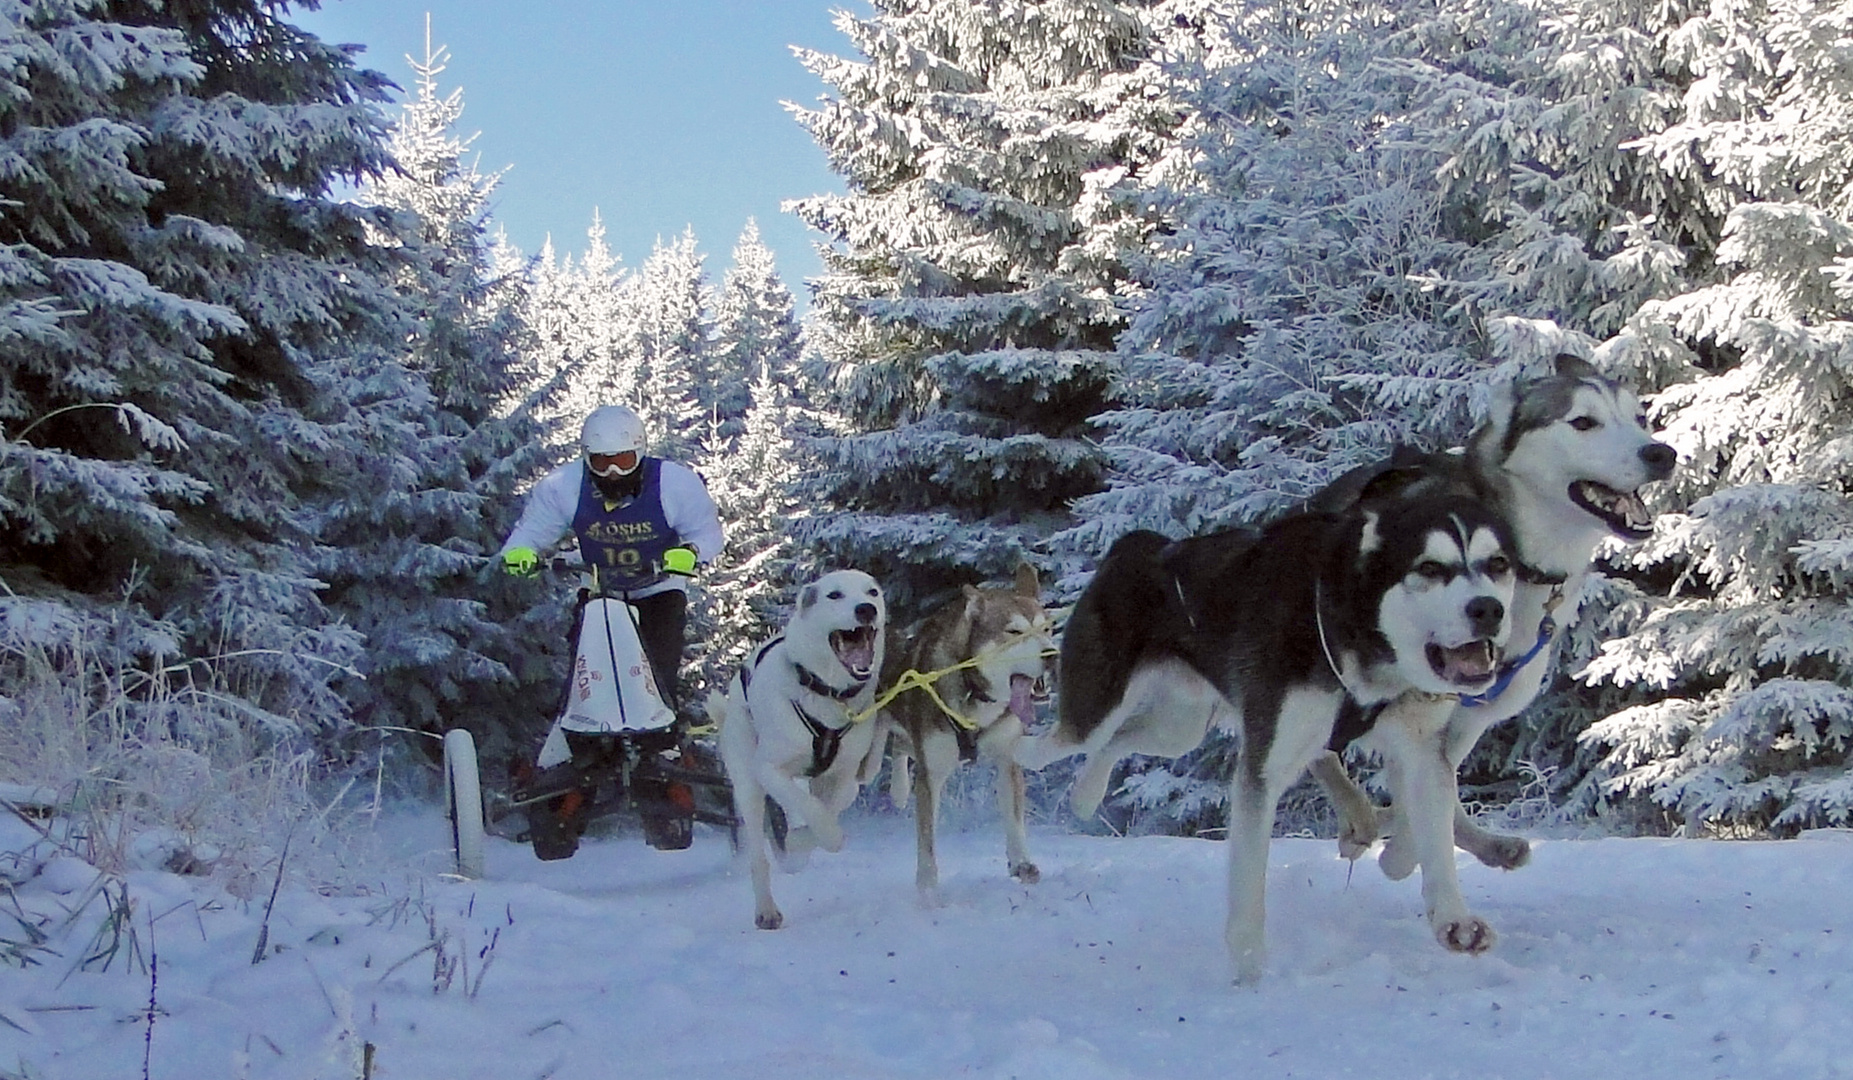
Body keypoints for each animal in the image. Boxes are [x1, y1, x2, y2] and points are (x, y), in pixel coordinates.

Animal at [711, 570, 885, 933]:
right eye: (834, 595)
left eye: (872, 592)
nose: (866, 609)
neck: (826, 692)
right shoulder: (770, 770)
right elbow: (815, 813)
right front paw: (810, 838)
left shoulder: (845, 776)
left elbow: (827, 810)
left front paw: (801, 843)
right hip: (748, 784)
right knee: (759, 853)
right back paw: (766, 909)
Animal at [882, 563, 1059, 900]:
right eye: (1014, 632)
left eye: (1046, 629)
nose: (1052, 655)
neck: (975, 691)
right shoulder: (931, 773)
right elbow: (927, 838)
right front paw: (927, 888)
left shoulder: (1007, 758)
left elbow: (1014, 819)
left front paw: (1021, 862)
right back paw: (897, 790)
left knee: (901, 745)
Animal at [1015, 492, 1519, 985]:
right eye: (1429, 568)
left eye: (1497, 564)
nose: (1489, 609)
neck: (1351, 629)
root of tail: (1136, 544)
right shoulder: (1264, 767)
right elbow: (1249, 877)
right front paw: (1248, 966)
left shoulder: (1422, 752)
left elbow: (1435, 838)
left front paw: (1454, 920)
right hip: (1092, 712)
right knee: (1047, 744)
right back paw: (1014, 759)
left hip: (1178, 727)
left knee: (1117, 740)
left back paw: (1084, 795)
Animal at [1304, 355, 1682, 878]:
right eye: (1583, 422)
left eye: (1639, 418)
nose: (1661, 453)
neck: (1523, 563)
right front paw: (1395, 846)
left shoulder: (1471, 715)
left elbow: (1431, 790)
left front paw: (1407, 846)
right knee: (1321, 752)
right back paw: (1361, 817)